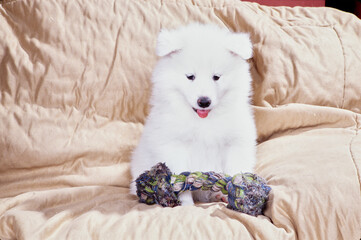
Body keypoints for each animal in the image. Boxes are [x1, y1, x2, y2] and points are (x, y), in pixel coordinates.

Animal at [131, 23, 258, 205]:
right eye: (190, 76)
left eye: (216, 77)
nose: (204, 101)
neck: (203, 120)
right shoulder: (174, 146)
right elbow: (180, 181)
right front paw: (186, 204)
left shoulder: (236, 144)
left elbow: (235, 173)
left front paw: (236, 197)